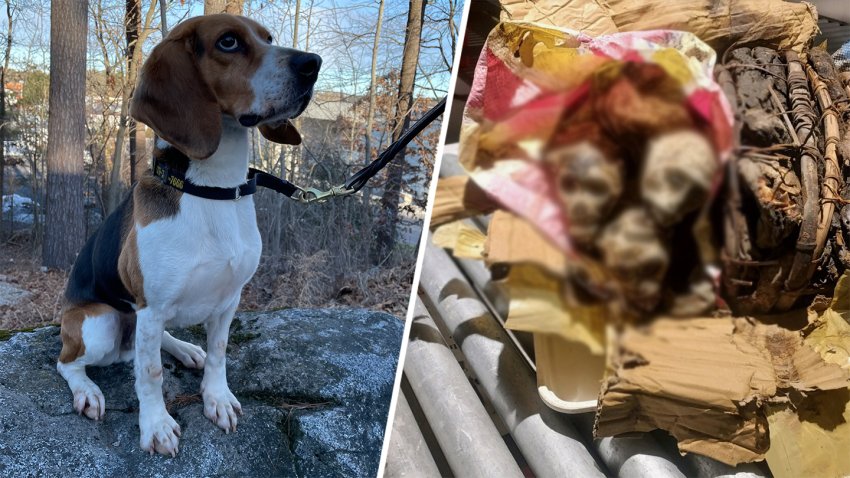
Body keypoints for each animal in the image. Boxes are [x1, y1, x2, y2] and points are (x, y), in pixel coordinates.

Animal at [55, 14, 322, 456]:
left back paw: (185, 349)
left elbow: (219, 352)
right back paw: (87, 391)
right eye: (228, 42)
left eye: (268, 38)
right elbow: (150, 375)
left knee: (157, 342)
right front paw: (156, 426)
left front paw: (217, 398)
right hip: (100, 323)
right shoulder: (151, 305)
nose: (312, 64)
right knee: (69, 362)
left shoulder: (229, 299)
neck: (213, 188)